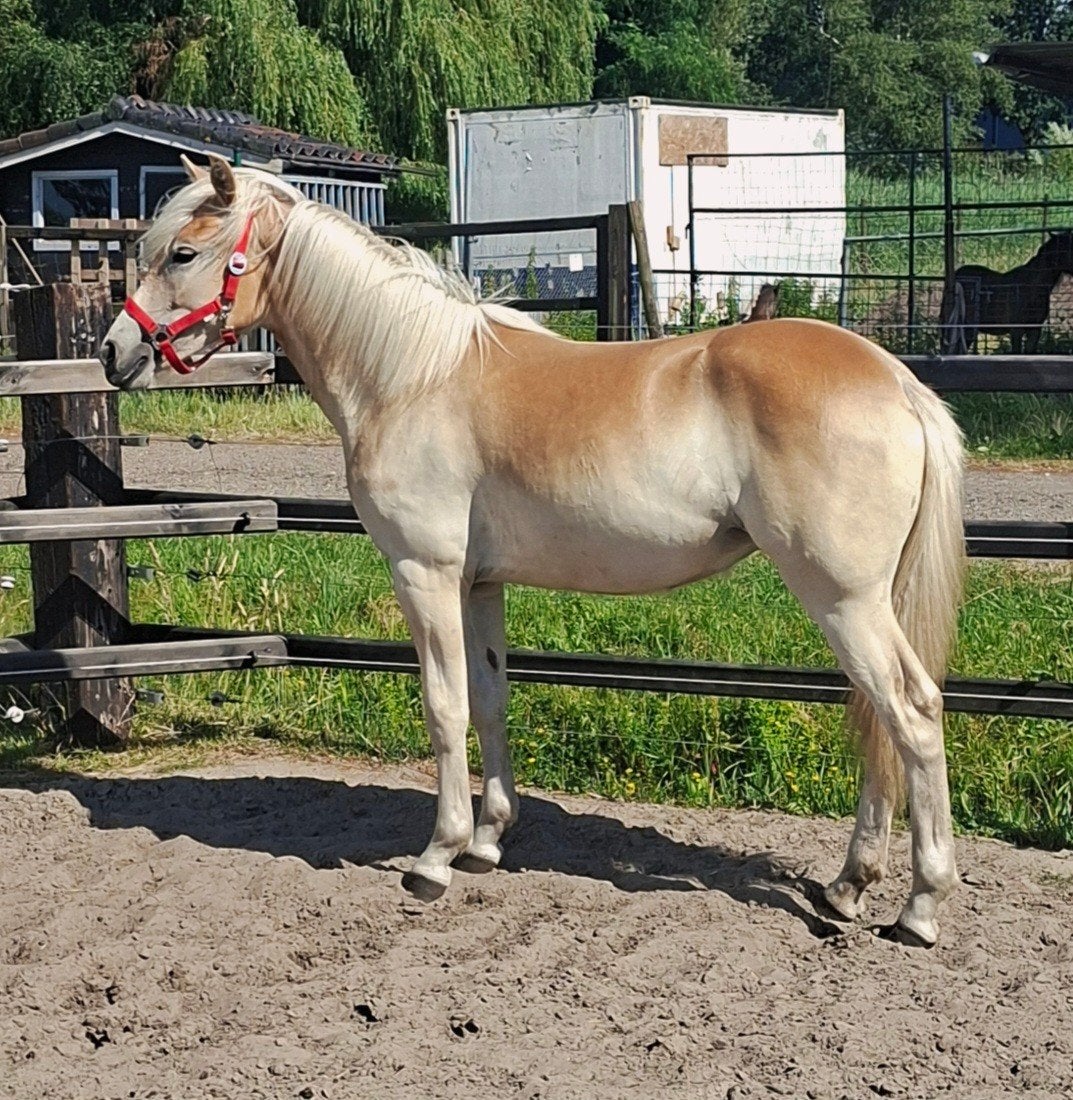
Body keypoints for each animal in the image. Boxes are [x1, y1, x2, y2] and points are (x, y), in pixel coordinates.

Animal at [100, 156, 966, 947]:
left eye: (183, 253)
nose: (114, 352)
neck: (408, 375)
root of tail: (896, 383)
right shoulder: (478, 584)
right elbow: (489, 700)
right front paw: (488, 840)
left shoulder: (424, 574)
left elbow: (443, 706)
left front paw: (436, 857)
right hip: (857, 602)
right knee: (880, 720)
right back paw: (846, 888)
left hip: (841, 599)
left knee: (910, 713)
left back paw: (918, 908)